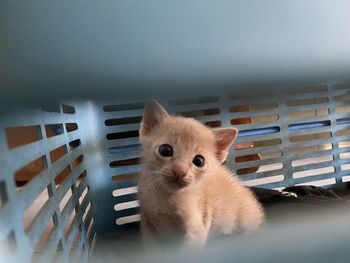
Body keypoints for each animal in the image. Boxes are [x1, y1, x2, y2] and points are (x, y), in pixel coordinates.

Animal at [138, 100, 264, 248]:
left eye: (199, 161)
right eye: (165, 150)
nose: (179, 171)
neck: (165, 195)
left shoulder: (196, 229)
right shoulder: (147, 223)